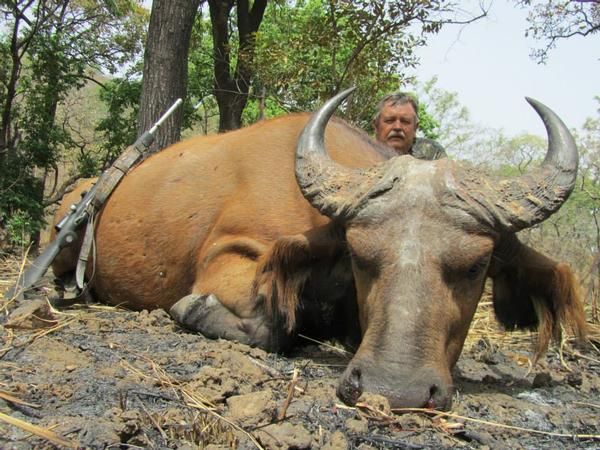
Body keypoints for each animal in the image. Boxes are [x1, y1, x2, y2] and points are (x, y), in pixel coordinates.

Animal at [52, 90, 587, 410]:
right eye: (359, 256)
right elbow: (265, 324)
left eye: (476, 266)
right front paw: (196, 310)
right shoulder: (229, 258)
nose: (393, 389)